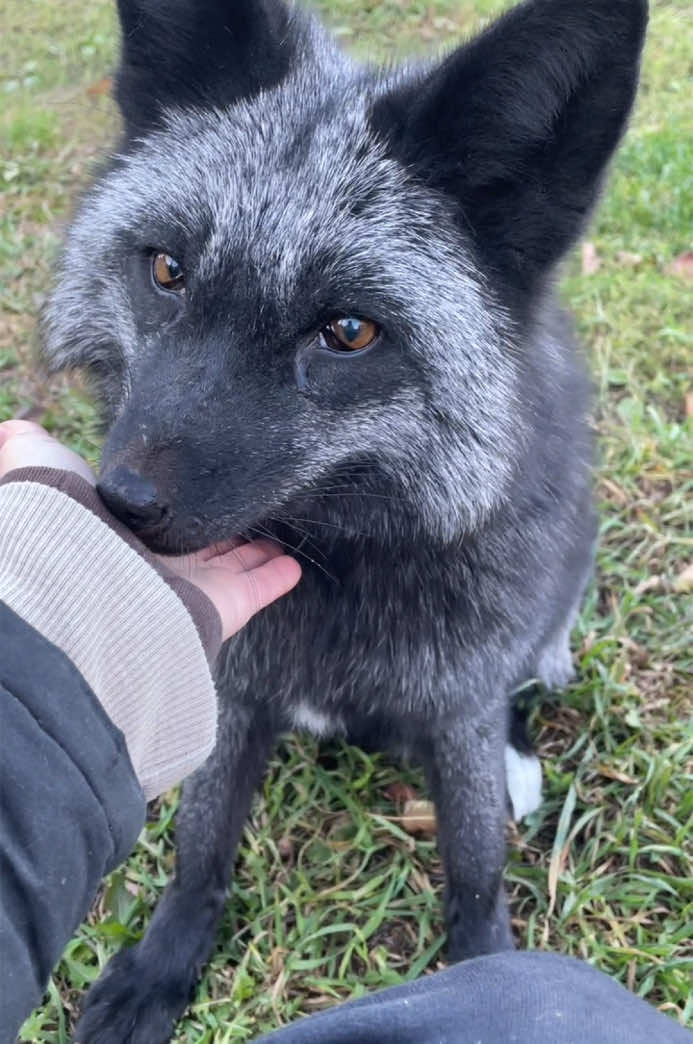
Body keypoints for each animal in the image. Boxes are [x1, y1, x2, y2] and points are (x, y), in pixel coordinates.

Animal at [42, 0, 651, 1039]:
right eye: (166, 270)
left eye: (349, 333)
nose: (117, 506)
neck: (338, 571)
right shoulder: (236, 690)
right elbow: (201, 849)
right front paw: (162, 964)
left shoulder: (456, 706)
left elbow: (474, 870)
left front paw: (490, 975)